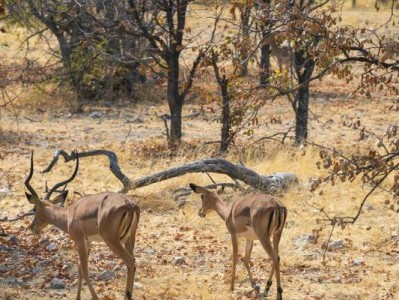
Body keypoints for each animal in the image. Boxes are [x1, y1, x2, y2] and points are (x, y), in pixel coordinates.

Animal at [24, 150, 141, 300]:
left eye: (34, 209)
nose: (32, 228)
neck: (70, 214)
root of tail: (129, 204)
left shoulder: (79, 241)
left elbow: (84, 271)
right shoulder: (88, 242)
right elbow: (80, 269)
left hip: (112, 240)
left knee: (130, 261)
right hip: (129, 238)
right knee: (133, 262)